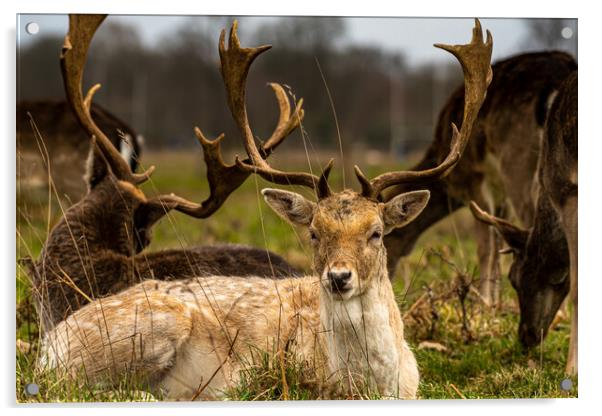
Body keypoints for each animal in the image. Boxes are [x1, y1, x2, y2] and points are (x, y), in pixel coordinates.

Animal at [382, 51, 576, 306]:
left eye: (381, 237)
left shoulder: (475, 180)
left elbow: (486, 246)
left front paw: (484, 302)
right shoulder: (499, 194)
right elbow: (500, 241)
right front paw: (496, 302)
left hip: (518, 161)